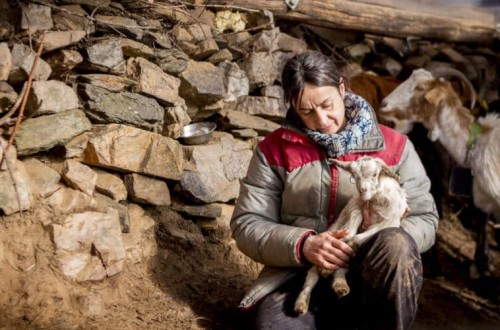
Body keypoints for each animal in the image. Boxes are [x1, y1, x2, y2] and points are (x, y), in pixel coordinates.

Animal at [294, 156, 408, 316]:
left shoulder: (387, 222)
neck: (374, 199)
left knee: (340, 268)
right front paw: (330, 260)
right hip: (335, 226)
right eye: (355, 176)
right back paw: (302, 302)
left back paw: (339, 284)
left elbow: (355, 239)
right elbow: (349, 232)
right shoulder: (356, 208)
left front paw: (331, 266)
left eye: (375, 175)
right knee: (312, 274)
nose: (362, 190)